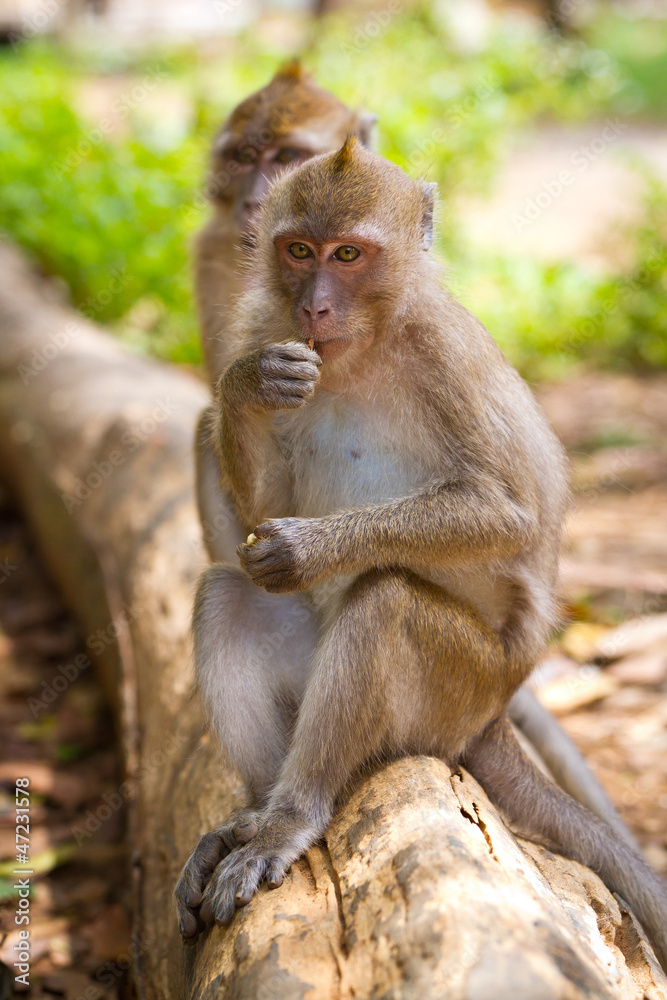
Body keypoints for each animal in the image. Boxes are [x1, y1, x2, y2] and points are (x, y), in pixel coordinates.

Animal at [177, 137, 667, 964]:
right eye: (299, 250)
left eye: (348, 254)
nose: (313, 306)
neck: (365, 344)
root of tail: (493, 715)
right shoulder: (261, 321)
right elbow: (258, 509)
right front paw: (248, 385)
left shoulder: (445, 352)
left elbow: (506, 514)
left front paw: (309, 548)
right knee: (226, 593)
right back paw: (253, 812)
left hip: (457, 689)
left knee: (382, 602)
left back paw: (291, 816)